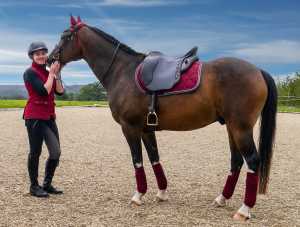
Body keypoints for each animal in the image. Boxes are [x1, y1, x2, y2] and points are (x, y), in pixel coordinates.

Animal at [49, 16, 276, 222]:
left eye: (66, 36)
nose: (51, 59)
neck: (123, 71)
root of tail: (257, 70)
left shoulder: (129, 127)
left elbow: (137, 160)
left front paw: (138, 195)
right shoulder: (146, 129)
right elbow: (154, 158)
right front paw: (161, 193)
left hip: (240, 128)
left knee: (252, 161)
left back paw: (244, 209)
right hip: (231, 127)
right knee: (236, 161)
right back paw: (221, 199)